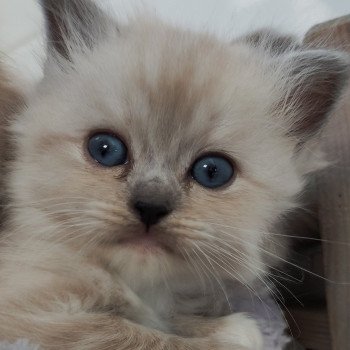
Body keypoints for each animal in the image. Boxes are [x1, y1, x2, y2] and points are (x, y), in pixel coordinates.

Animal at [0, 1, 348, 348]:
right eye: (105, 150)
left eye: (212, 172)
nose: (150, 207)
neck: (142, 287)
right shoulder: (29, 314)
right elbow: (132, 332)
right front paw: (232, 334)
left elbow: (165, 321)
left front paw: (219, 326)